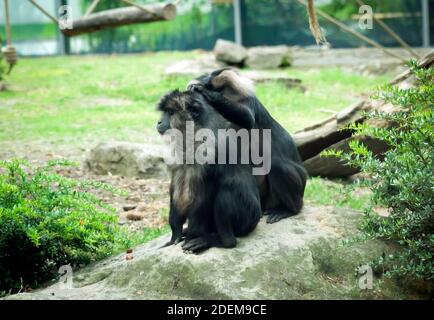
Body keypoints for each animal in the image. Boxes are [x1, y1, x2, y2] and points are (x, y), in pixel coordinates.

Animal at [157, 89, 262, 252]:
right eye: (165, 112)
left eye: (171, 112)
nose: (159, 122)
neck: (195, 134)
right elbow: (175, 187)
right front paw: (176, 233)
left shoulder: (212, 153)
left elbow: (203, 197)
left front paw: (192, 236)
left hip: (248, 218)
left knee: (225, 195)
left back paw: (219, 240)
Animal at [188, 67, 306, 222]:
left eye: (211, 76)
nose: (203, 79)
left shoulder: (248, 102)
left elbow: (247, 118)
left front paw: (205, 92)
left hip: (297, 187)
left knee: (277, 165)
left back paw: (288, 210)